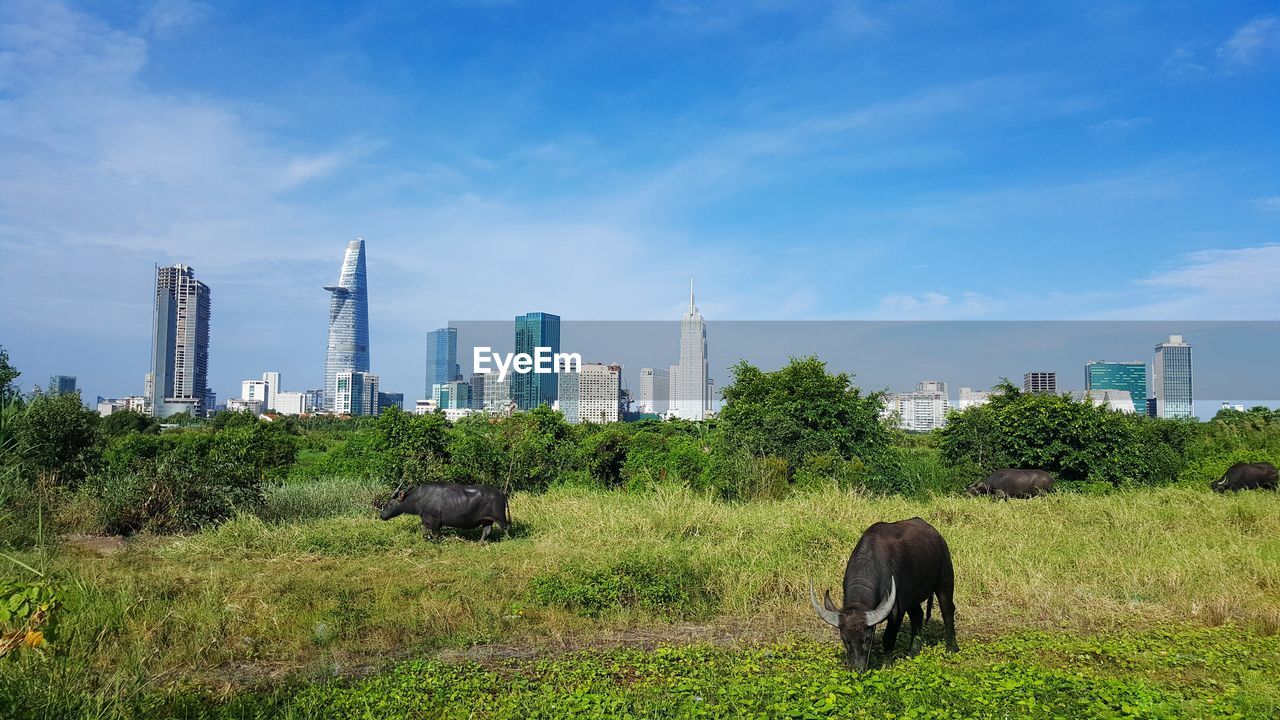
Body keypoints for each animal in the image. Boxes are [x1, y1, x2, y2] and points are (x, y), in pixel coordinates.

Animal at [373, 481, 509, 538]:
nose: (382, 515)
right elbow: (423, 530)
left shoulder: (435, 521)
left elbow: (436, 534)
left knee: (506, 528)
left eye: (390, 503)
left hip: (500, 518)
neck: (420, 498)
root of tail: (502, 494)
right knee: (486, 531)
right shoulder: (425, 519)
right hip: (487, 520)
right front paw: (427, 537)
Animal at [803, 515, 957, 666]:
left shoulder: (897, 609)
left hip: (945, 580)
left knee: (947, 610)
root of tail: (936, 535)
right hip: (912, 597)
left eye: (867, 637)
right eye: (844, 639)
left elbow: (888, 637)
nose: (857, 668)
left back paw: (952, 648)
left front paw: (886, 663)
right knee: (918, 616)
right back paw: (913, 652)